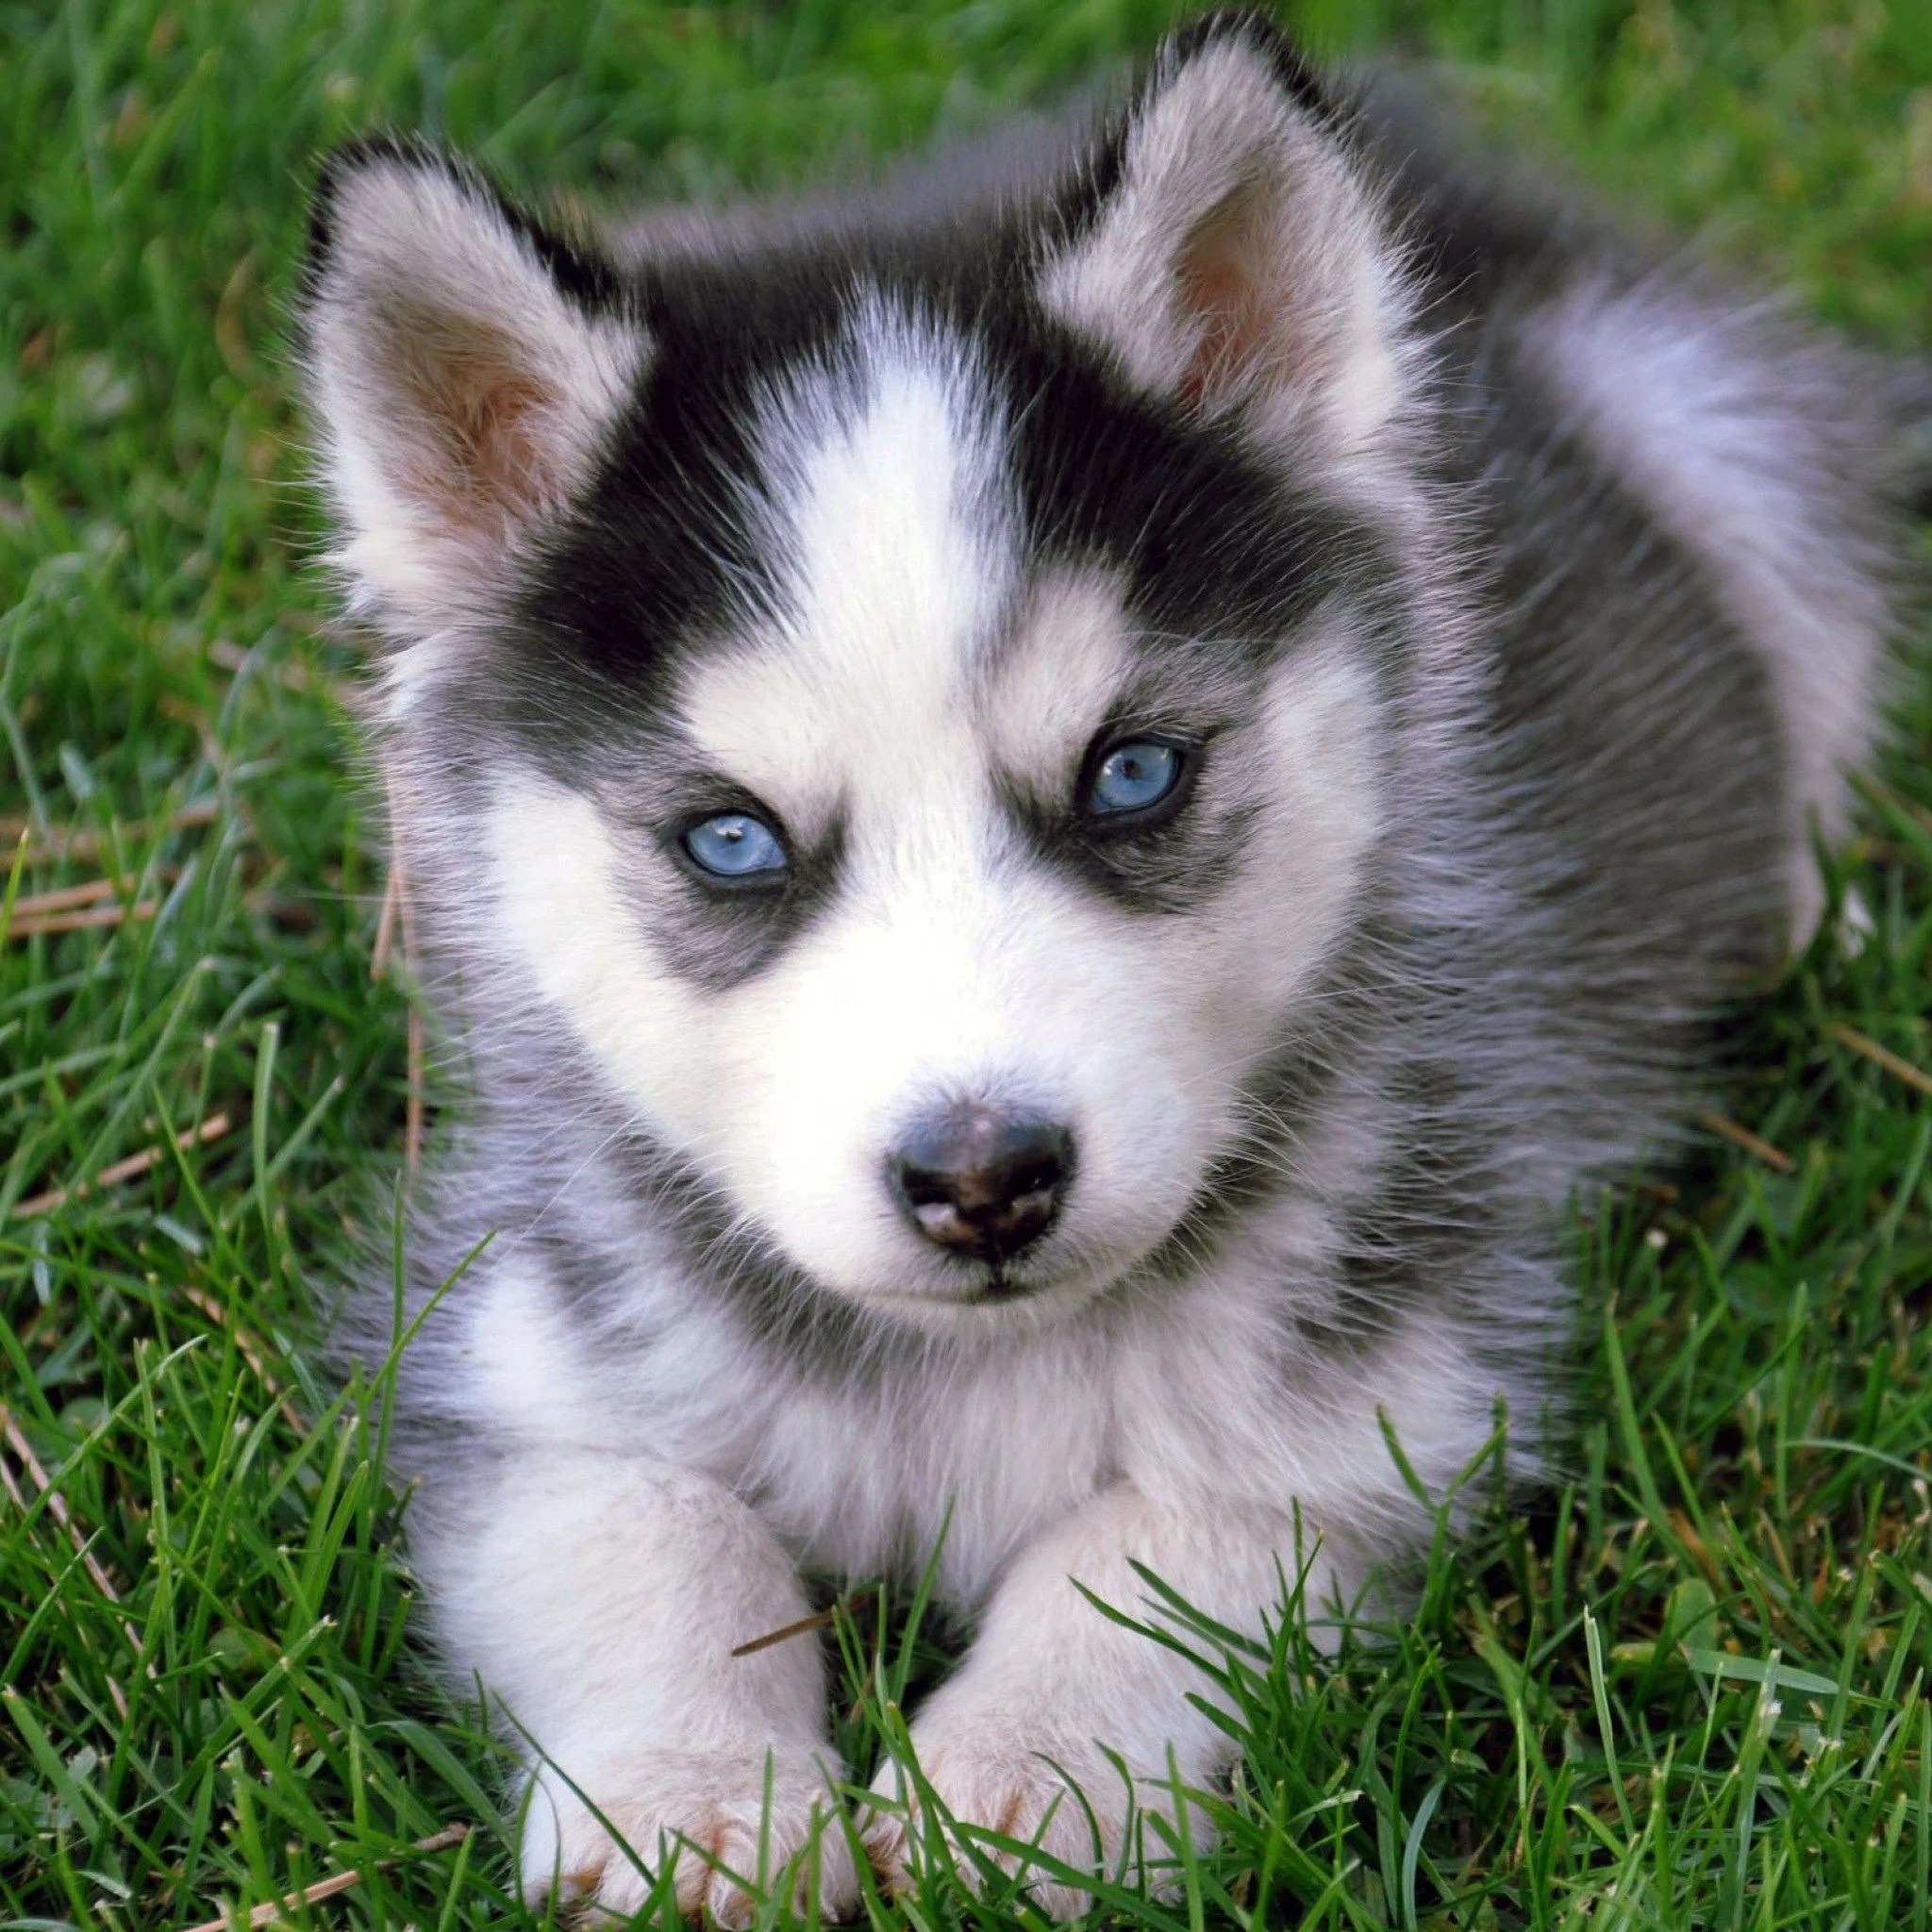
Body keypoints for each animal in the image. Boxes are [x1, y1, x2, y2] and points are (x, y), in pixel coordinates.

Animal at [299, 9, 1918, 1921]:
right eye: (731, 842)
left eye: (1132, 772)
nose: (983, 1178)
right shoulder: (514, 1342)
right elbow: (647, 1526)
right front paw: (687, 1803)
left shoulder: (1388, 1381)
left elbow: (1154, 1546)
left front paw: (1016, 1790)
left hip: (1712, 430)